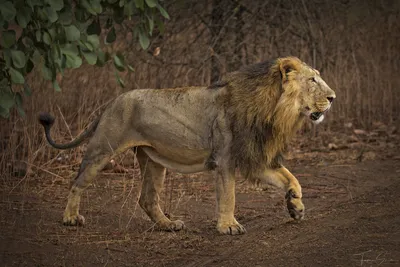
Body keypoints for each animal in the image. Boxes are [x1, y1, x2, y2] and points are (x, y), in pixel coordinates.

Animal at [39, 56, 334, 234]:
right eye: (312, 80)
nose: (333, 97)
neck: (275, 110)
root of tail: (110, 103)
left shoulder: (254, 156)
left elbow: (290, 178)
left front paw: (296, 206)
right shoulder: (226, 159)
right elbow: (229, 195)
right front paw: (228, 226)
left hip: (153, 160)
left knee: (147, 198)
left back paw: (168, 224)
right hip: (104, 148)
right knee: (77, 183)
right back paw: (70, 218)